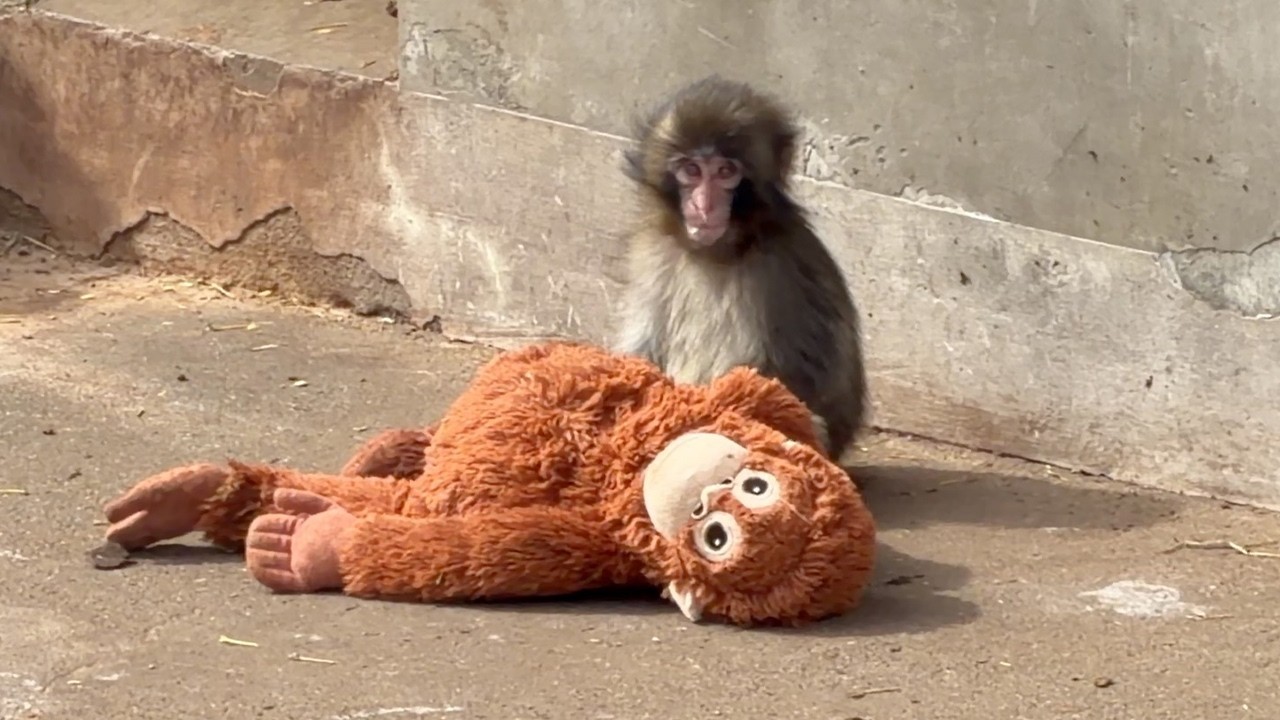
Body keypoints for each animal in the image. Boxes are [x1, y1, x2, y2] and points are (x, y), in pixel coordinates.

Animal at [610, 75, 868, 465]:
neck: (718, 250)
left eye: (726, 172)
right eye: (691, 170)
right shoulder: (651, 250)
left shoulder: (778, 268)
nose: (704, 206)